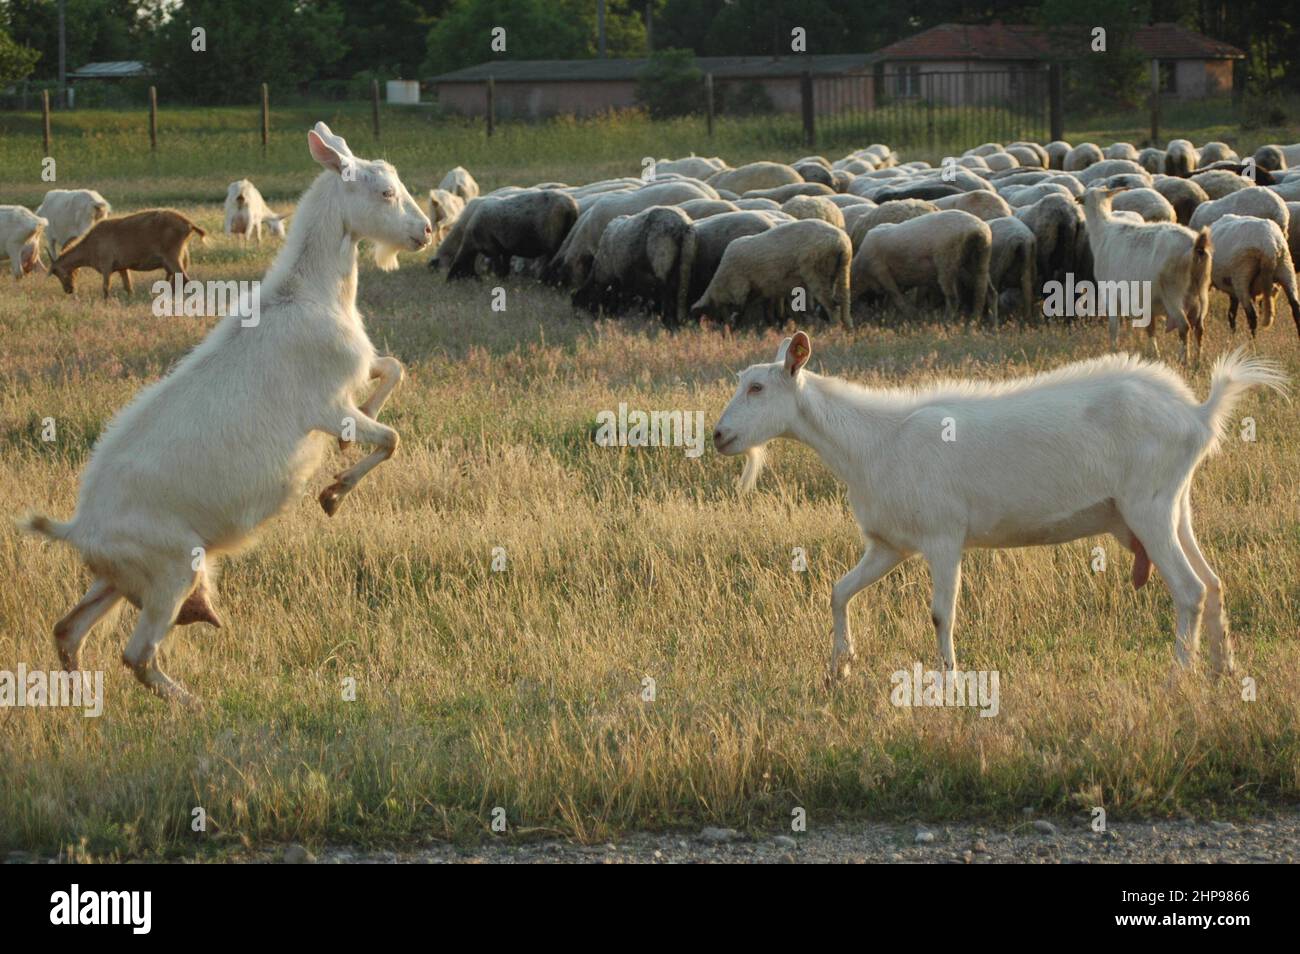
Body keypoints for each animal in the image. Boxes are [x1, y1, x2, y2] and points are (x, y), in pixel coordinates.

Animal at [21, 123, 432, 705]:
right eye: (385, 193)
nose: (425, 232)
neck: (309, 296)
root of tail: (78, 528)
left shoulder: (356, 374)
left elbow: (394, 369)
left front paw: (346, 455)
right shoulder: (327, 406)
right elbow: (391, 438)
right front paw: (333, 494)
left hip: (119, 579)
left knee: (68, 630)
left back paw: (84, 702)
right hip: (171, 571)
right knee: (135, 654)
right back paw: (193, 703)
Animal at [712, 331, 1287, 681]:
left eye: (757, 386)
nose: (718, 435)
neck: (873, 442)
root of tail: (1197, 414)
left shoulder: (944, 537)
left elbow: (941, 612)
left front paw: (948, 681)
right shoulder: (889, 545)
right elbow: (838, 591)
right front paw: (838, 669)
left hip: (1148, 505)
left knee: (1190, 590)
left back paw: (1176, 679)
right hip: (1173, 506)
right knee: (1214, 583)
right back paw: (1223, 672)